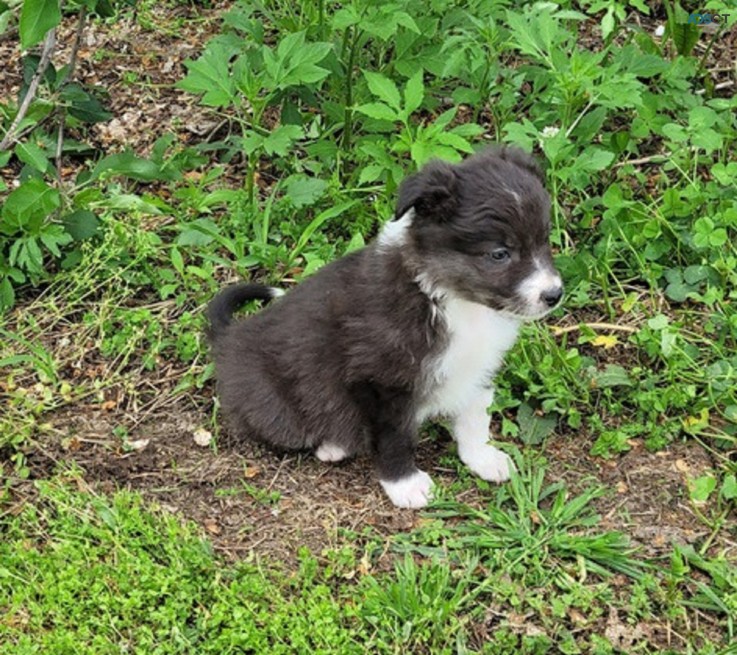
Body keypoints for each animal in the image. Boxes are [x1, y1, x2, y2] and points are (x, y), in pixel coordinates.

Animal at [207, 146, 564, 510]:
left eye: (544, 240)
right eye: (499, 254)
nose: (554, 295)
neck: (449, 300)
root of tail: (230, 338)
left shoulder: (477, 365)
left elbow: (475, 416)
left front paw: (482, 458)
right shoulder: (381, 381)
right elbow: (395, 436)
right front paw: (406, 485)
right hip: (277, 406)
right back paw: (332, 445)